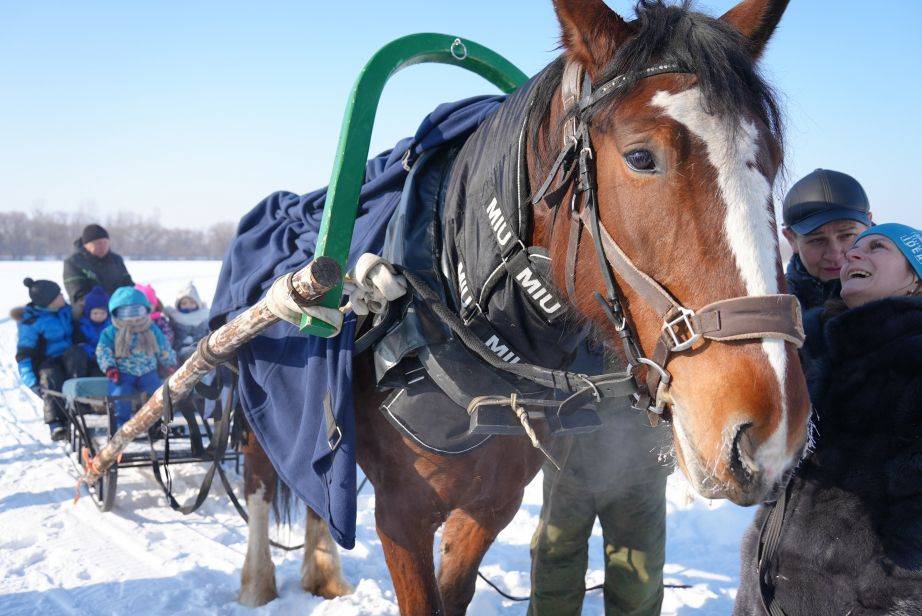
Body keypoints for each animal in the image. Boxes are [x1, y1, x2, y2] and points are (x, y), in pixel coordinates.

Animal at [235, 2, 804, 612]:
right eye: (641, 157)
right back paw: (258, 581)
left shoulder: (489, 507)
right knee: (263, 475)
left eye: (772, 160)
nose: (769, 432)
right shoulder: (400, 516)